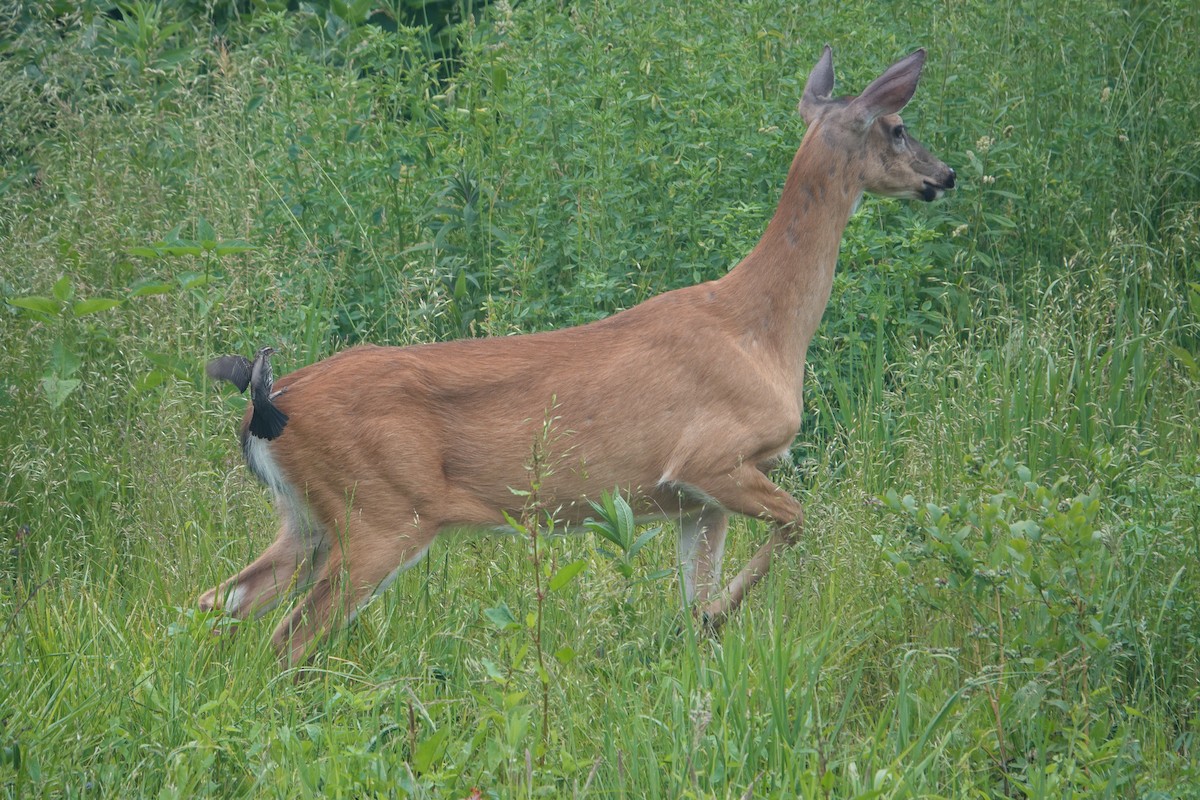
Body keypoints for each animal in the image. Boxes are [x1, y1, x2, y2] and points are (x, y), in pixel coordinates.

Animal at [204, 47, 955, 666]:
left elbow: (697, 589)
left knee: (220, 602)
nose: (945, 175)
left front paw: (700, 633)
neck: (760, 331)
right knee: (289, 636)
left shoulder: (695, 502)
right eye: (896, 126)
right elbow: (798, 520)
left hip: (306, 519)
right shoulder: (711, 459)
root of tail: (265, 402)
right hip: (381, 516)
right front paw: (718, 616)